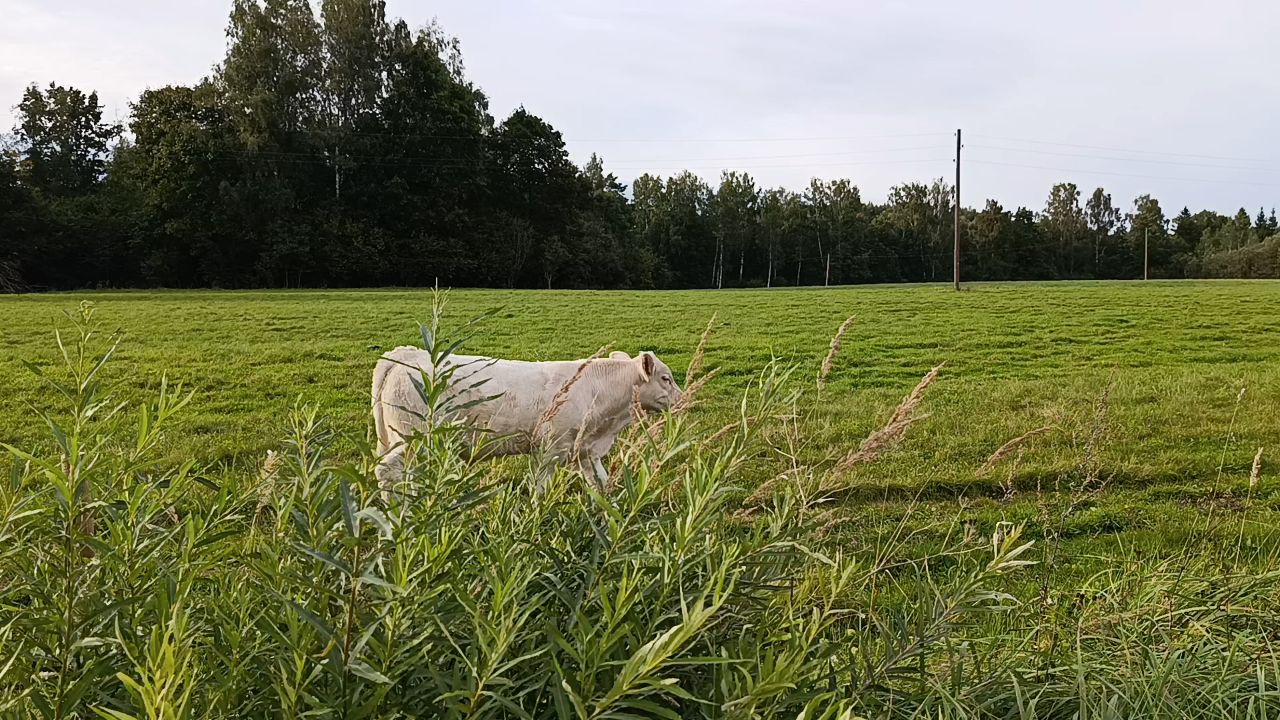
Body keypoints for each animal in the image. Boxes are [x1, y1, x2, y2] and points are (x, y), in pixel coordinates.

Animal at [372, 347, 681, 494]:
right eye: (666, 378)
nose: (683, 400)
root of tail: (407, 353)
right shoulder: (551, 447)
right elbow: (540, 488)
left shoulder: (584, 449)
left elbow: (600, 483)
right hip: (413, 438)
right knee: (386, 472)